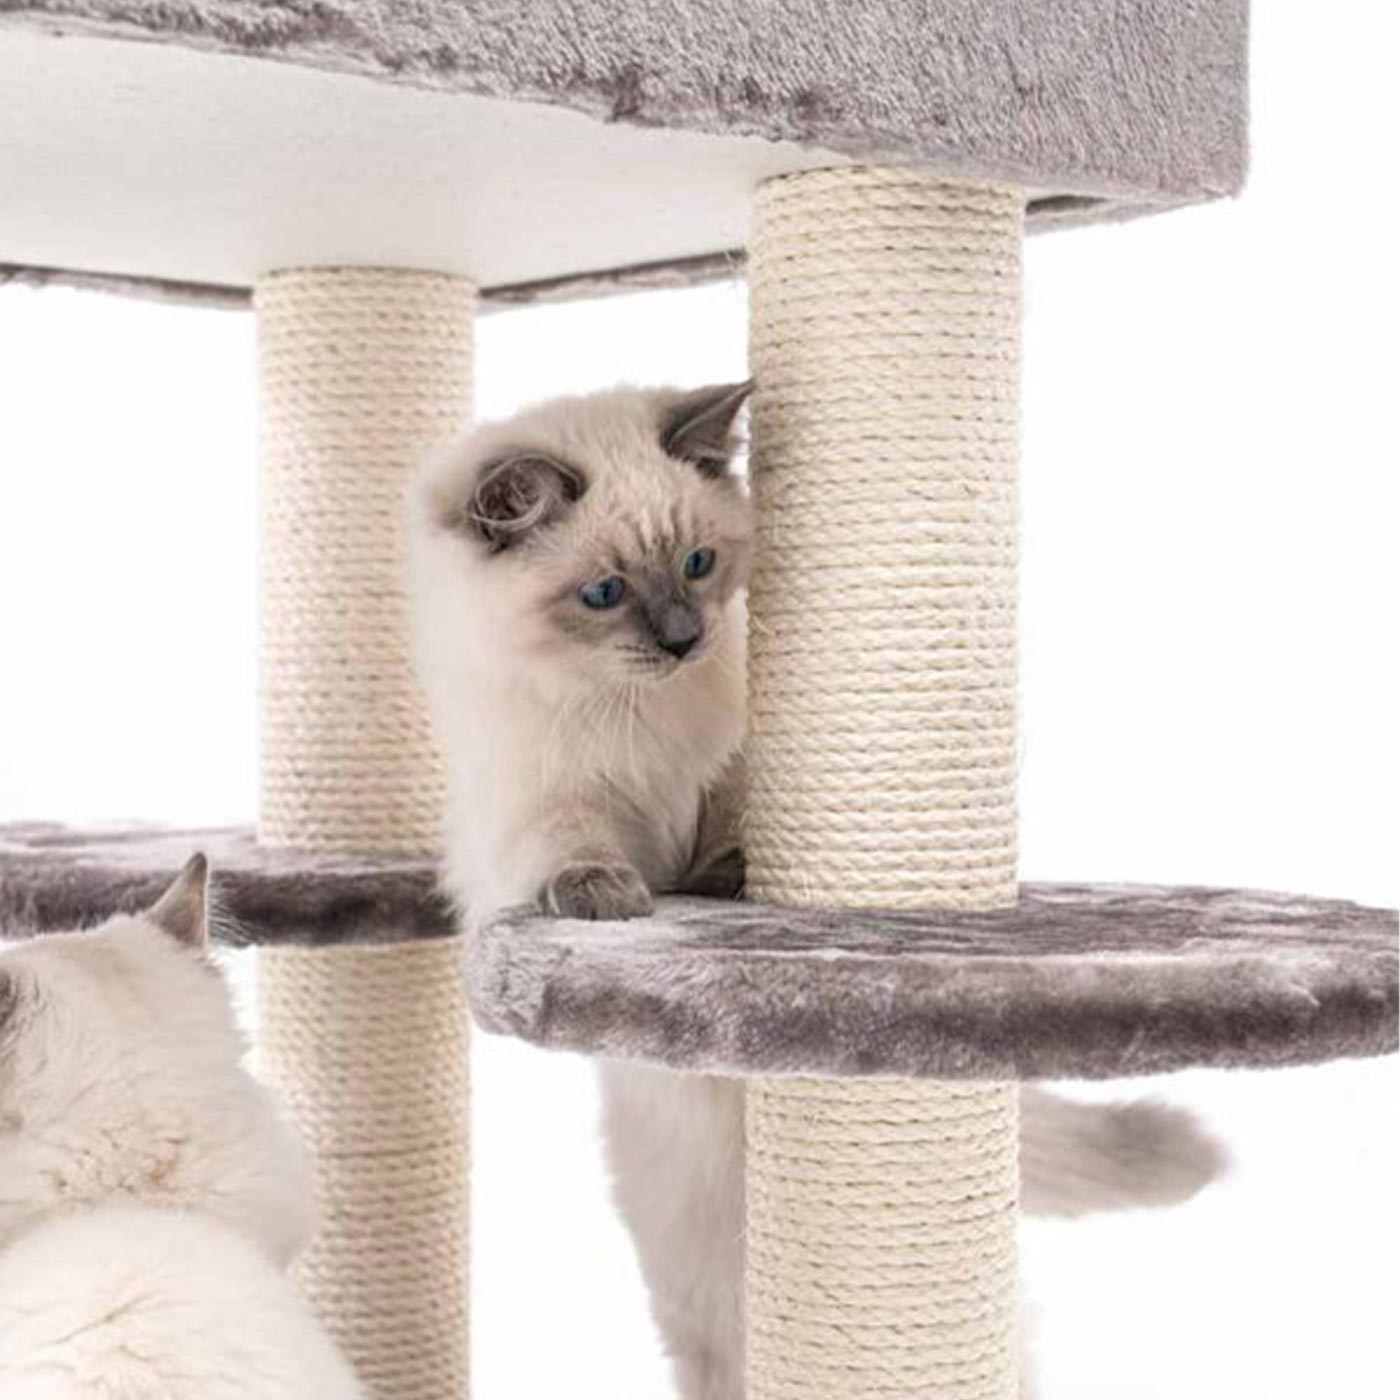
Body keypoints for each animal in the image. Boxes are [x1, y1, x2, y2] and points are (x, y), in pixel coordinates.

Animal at [411, 382, 1225, 1400]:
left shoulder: (731, 768)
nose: (683, 640)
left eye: (698, 564)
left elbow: (728, 832)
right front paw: (609, 895)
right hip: (703, 1299)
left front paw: (730, 881)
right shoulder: (545, 804)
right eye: (604, 594)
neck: (641, 713)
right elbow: (583, 852)